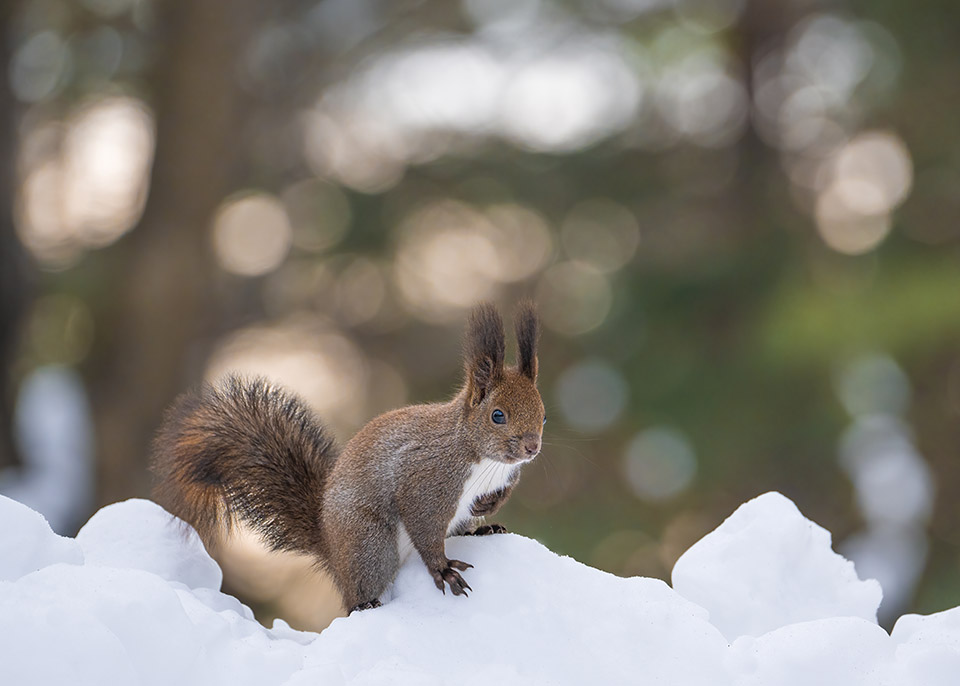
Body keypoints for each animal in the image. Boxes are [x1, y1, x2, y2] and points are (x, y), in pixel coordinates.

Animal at [147, 304, 544, 616]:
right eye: (497, 415)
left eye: (542, 415)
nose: (531, 448)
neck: (482, 457)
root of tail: (332, 550)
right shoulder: (426, 479)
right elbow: (424, 525)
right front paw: (443, 569)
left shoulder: (503, 476)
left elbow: (498, 493)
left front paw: (488, 507)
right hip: (370, 544)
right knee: (355, 597)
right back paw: (366, 603)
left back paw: (484, 529)